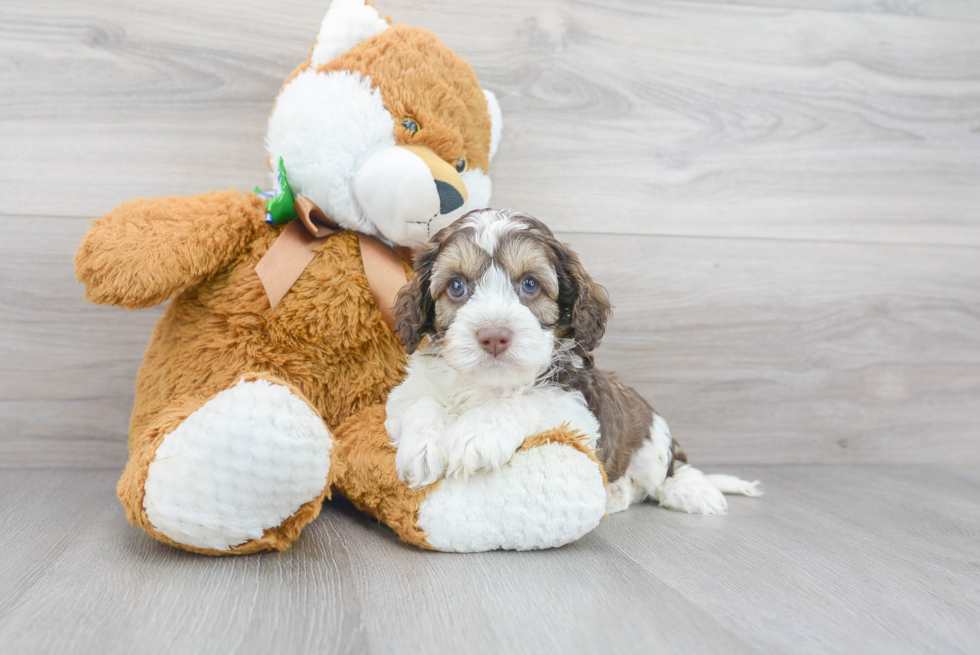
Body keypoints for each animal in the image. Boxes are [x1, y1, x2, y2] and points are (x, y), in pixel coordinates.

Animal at [386, 208, 760, 516]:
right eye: (457, 286)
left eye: (530, 284)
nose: (494, 336)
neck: (490, 384)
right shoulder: (402, 396)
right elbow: (420, 402)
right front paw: (422, 448)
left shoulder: (578, 412)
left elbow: (529, 400)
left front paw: (477, 434)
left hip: (653, 443)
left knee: (671, 469)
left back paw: (693, 491)